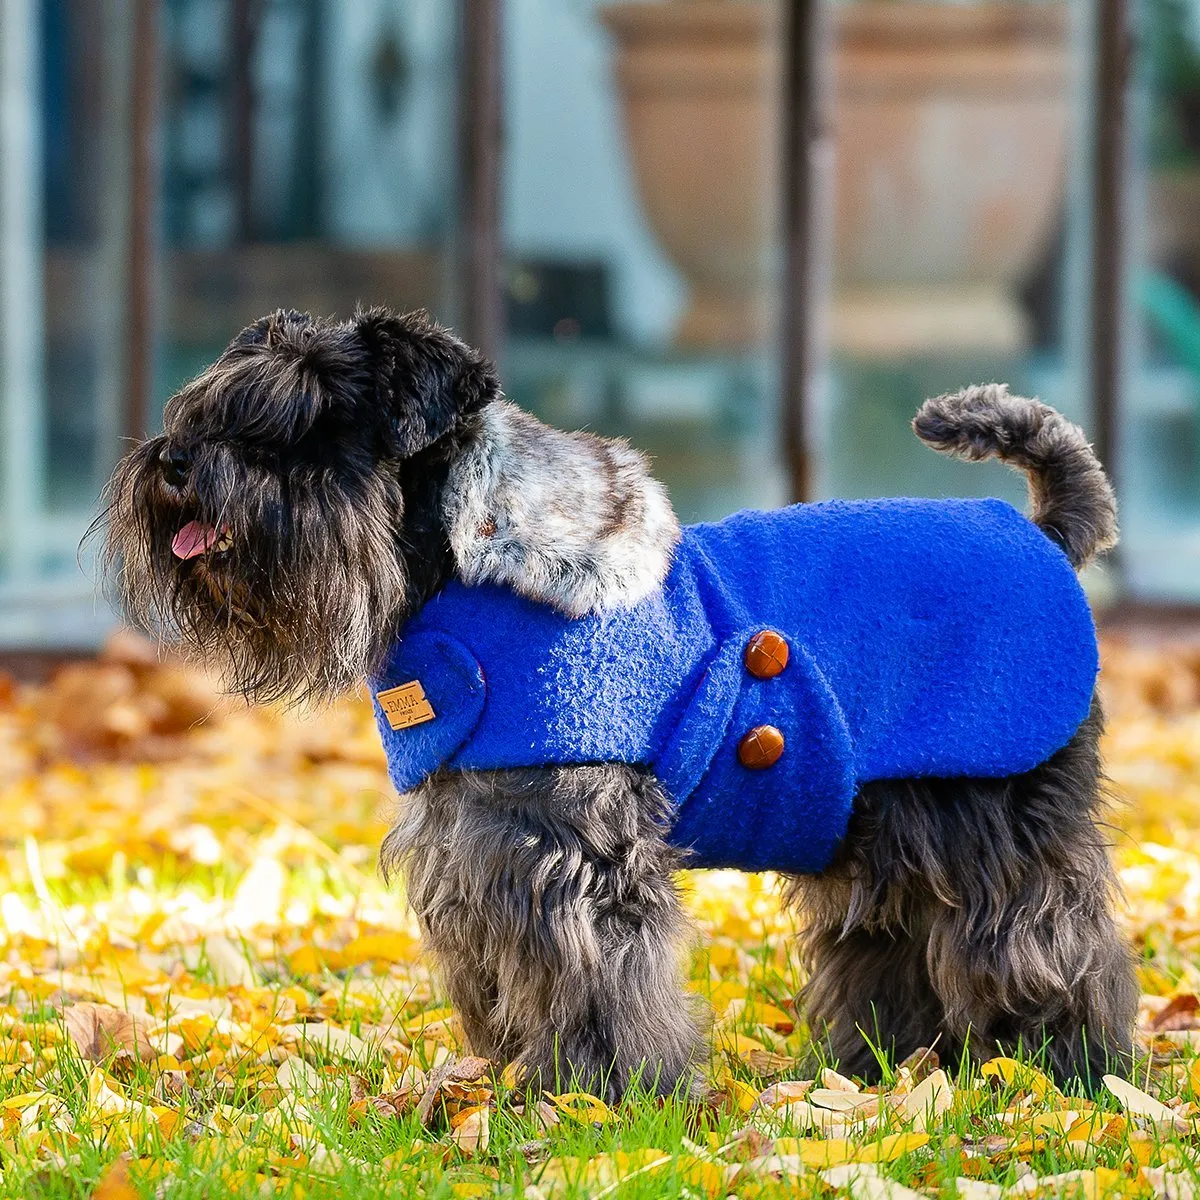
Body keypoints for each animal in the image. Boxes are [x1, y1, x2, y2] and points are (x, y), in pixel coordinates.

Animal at [100, 307, 1132, 1099]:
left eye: (310, 421)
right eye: (211, 407)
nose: (178, 461)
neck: (463, 572)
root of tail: (1044, 536)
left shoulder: (568, 852)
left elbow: (591, 976)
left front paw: (608, 1097)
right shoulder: (474, 838)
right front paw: (516, 1078)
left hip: (998, 821)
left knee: (1047, 936)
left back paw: (1064, 1066)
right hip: (884, 835)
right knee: (895, 942)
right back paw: (891, 1066)